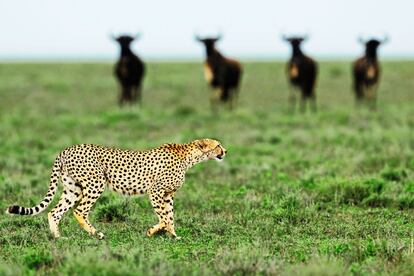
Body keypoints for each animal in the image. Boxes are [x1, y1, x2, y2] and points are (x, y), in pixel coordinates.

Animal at [5, 139, 226, 238]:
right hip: (95, 183)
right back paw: (96, 234)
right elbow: (164, 216)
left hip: (72, 188)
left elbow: (169, 215)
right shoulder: (156, 192)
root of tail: (66, 149)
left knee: (54, 211)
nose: (226, 151)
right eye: (217, 145)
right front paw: (156, 231)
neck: (189, 157)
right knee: (79, 210)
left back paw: (58, 237)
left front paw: (171, 235)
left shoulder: (168, 194)